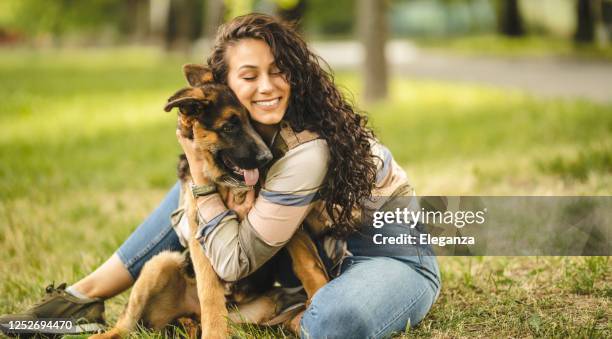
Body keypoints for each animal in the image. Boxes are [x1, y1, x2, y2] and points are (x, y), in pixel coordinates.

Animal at [91, 65, 328, 339]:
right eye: (229, 127)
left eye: (251, 122)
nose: (267, 158)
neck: (225, 184)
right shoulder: (201, 234)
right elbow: (209, 292)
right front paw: (214, 332)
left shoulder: (281, 222)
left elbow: (307, 262)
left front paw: (321, 291)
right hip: (160, 263)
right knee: (125, 325)